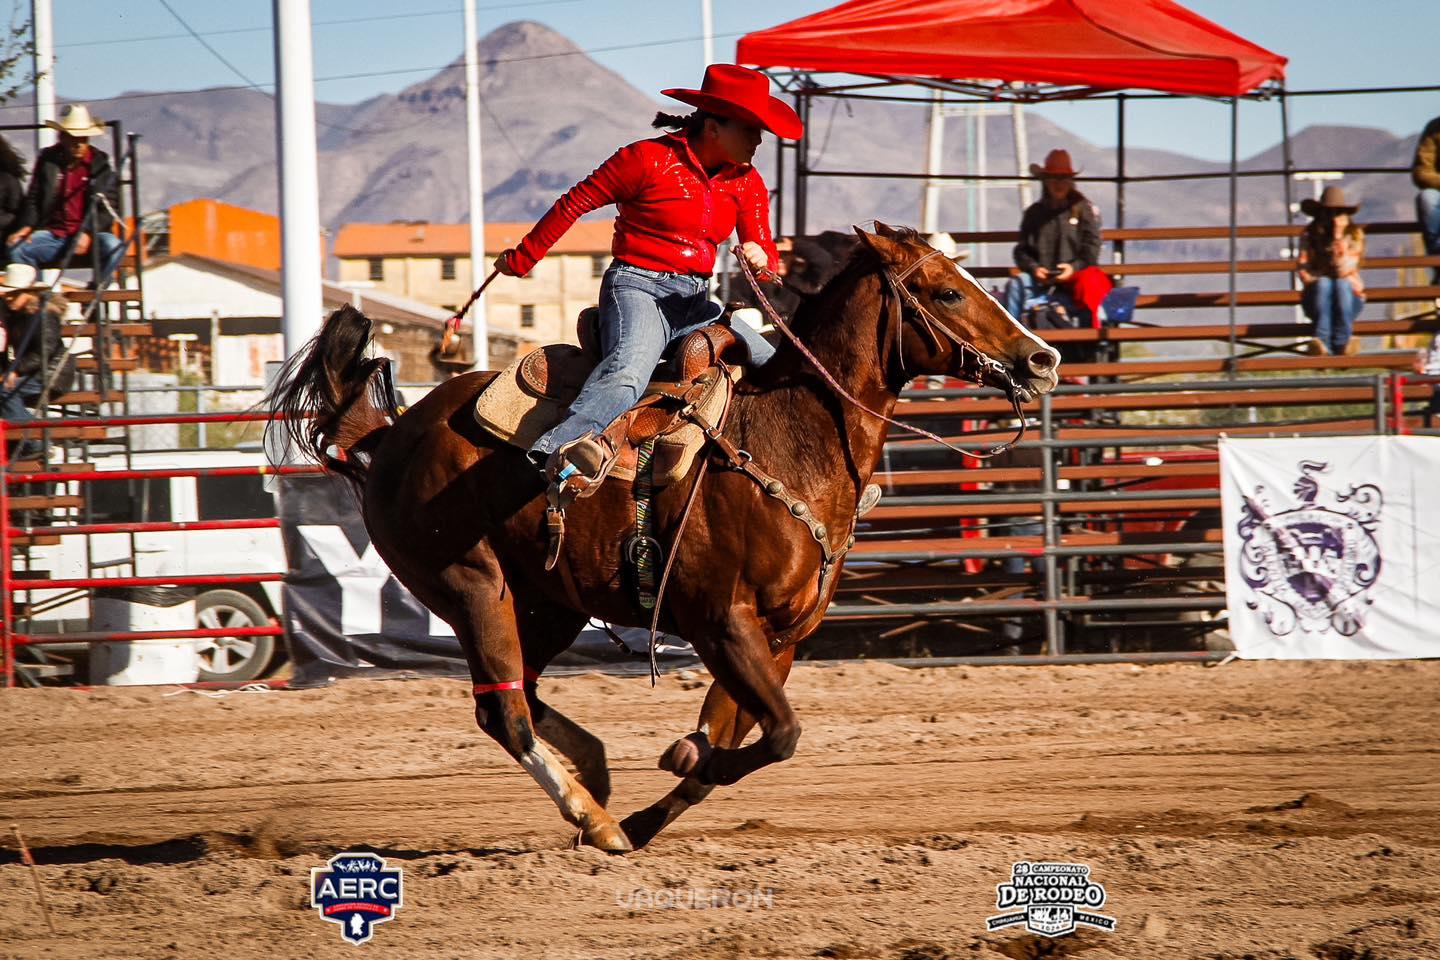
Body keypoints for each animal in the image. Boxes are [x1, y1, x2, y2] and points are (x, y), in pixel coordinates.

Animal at [270, 227, 1059, 857]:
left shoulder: (781, 639)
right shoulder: (722, 624)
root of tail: (388, 435)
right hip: (473, 587)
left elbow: (733, 738)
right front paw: (668, 779)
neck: (789, 438)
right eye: (946, 292)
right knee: (503, 710)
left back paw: (595, 776)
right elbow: (779, 734)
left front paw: (668, 784)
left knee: (523, 690)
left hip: (548, 605)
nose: (1043, 359)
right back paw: (594, 817)